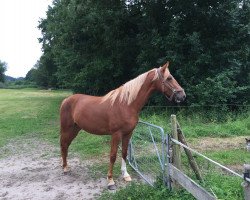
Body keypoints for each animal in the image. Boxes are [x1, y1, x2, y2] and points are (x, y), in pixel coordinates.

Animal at [59, 61, 186, 190]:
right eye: (169, 78)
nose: (182, 95)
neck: (126, 104)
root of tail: (66, 100)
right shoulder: (116, 134)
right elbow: (113, 155)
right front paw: (110, 181)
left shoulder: (128, 133)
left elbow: (124, 152)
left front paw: (125, 175)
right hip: (67, 129)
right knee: (63, 145)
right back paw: (65, 168)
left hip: (75, 129)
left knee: (66, 145)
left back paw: (66, 166)